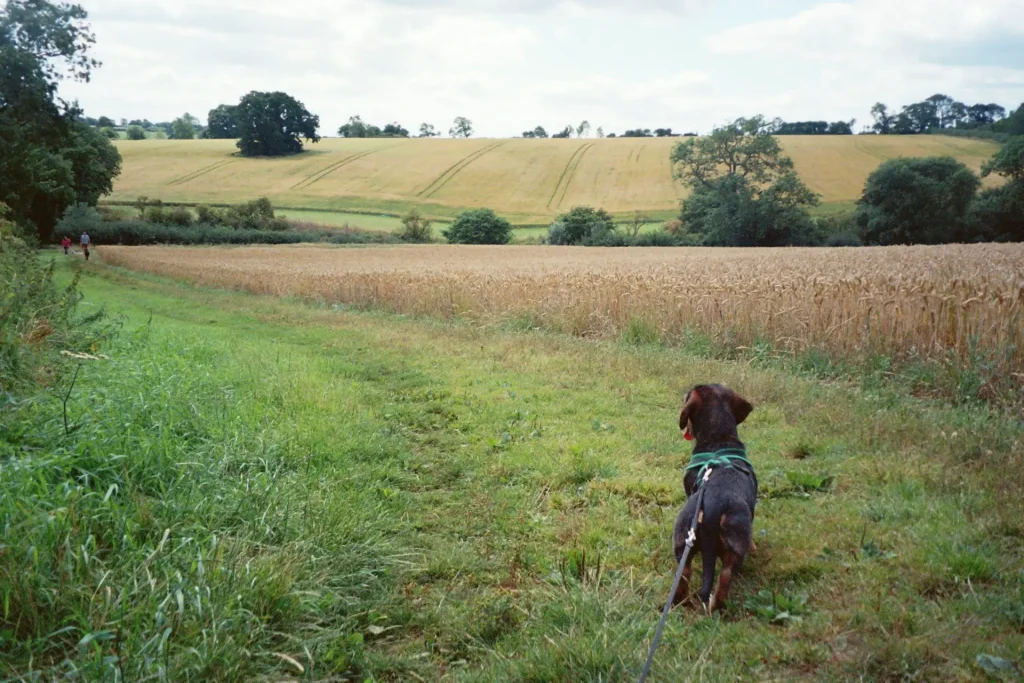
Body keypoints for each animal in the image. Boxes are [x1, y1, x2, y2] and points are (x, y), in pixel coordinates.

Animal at [671, 385, 753, 614]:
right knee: (724, 578)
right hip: (735, 544)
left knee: (685, 576)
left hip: (683, 539)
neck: (719, 440)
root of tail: (714, 504)